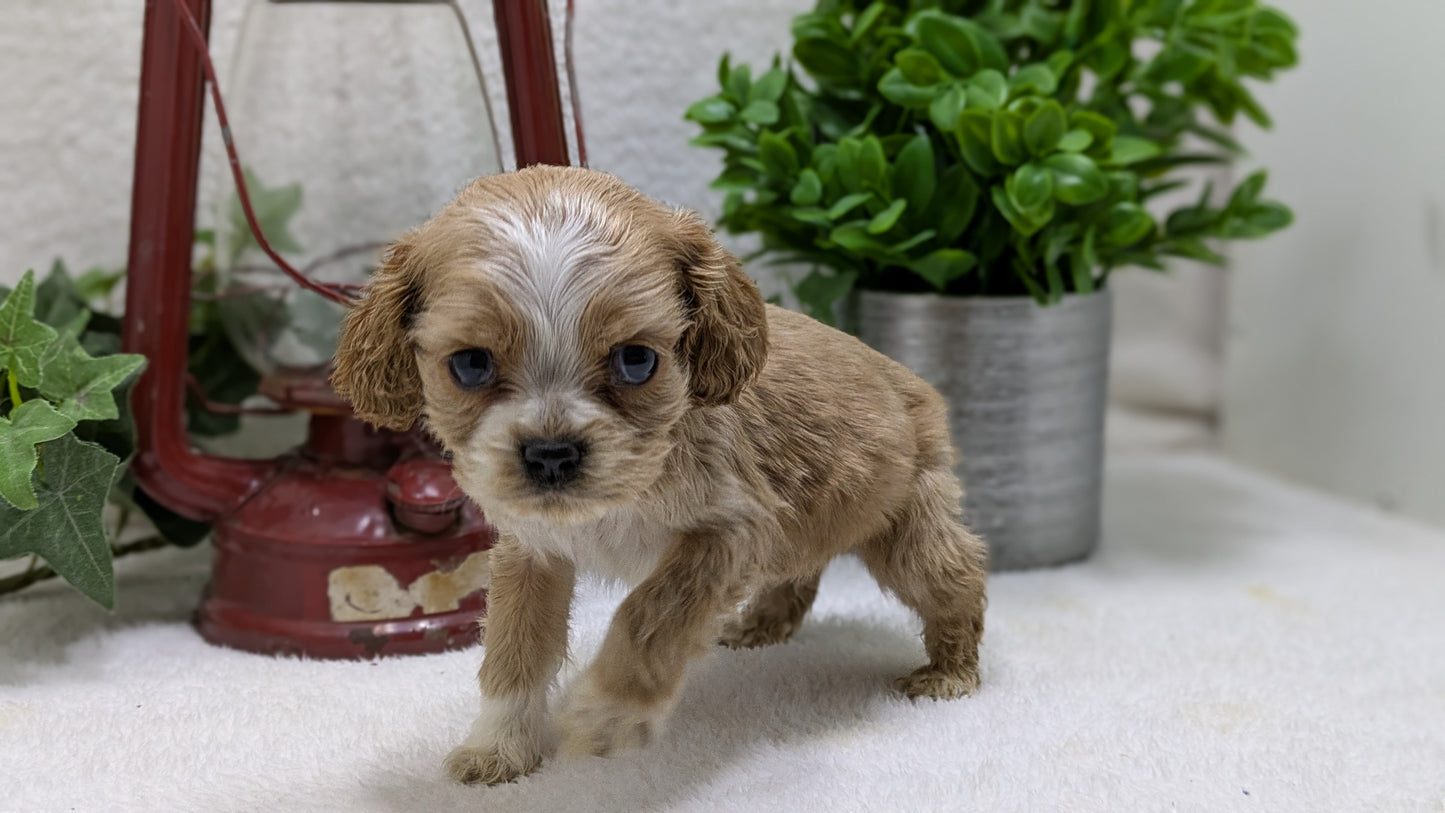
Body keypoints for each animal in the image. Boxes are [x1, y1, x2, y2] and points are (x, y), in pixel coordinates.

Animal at [332, 163, 988, 779]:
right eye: (469, 364)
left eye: (637, 360)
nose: (551, 452)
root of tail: (912, 381)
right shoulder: (531, 551)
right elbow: (513, 650)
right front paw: (499, 746)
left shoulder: (727, 533)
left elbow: (651, 614)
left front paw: (608, 711)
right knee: (798, 572)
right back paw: (763, 625)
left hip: (909, 534)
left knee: (959, 580)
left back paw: (950, 672)